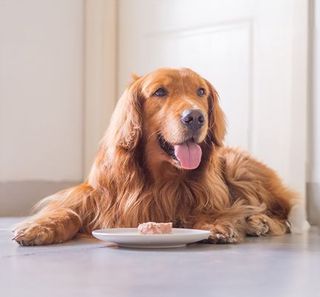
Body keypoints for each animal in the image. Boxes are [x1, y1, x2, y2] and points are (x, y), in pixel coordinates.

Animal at [13, 68, 298, 244]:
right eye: (160, 92)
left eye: (201, 92)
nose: (195, 117)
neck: (160, 179)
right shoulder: (93, 194)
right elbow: (68, 211)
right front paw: (39, 227)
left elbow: (209, 210)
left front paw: (216, 224)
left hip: (239, 166)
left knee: (282, 216)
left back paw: (258, 221)